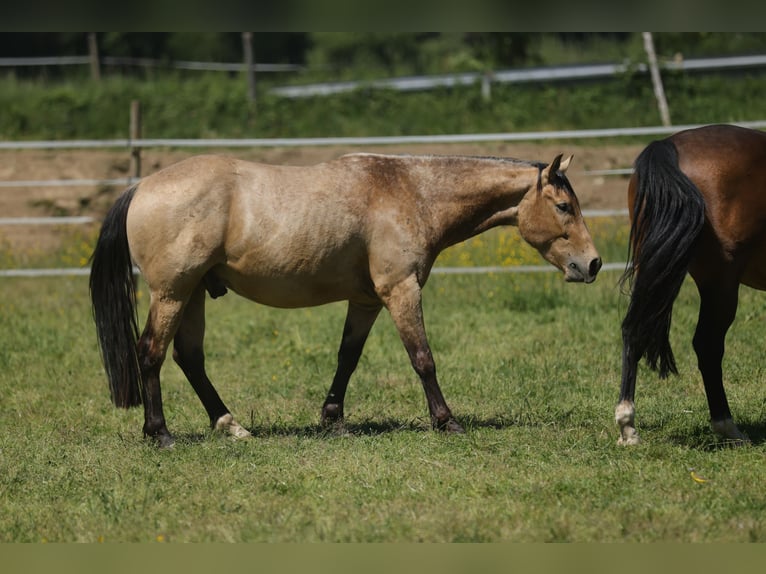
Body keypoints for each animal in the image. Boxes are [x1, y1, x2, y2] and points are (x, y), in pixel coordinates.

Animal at [90, 151, 602, 448]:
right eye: (564, 206)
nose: (593, 264)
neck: (411, 191)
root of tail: (140, 187)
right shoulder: (401, 289)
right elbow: (423, 359)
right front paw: (446, 421)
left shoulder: (368, 301)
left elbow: (347, 358)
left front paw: (332, 419)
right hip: (173, 293)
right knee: (151, 353)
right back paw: (160, 433)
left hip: (193, 293)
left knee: (189, 358)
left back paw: (229, 425)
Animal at [617, 124, 766, 446]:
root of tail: (669, 145)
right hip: (720, 284)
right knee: (707, 345)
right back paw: (728, 428)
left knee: (633, 331)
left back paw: (627, 425)